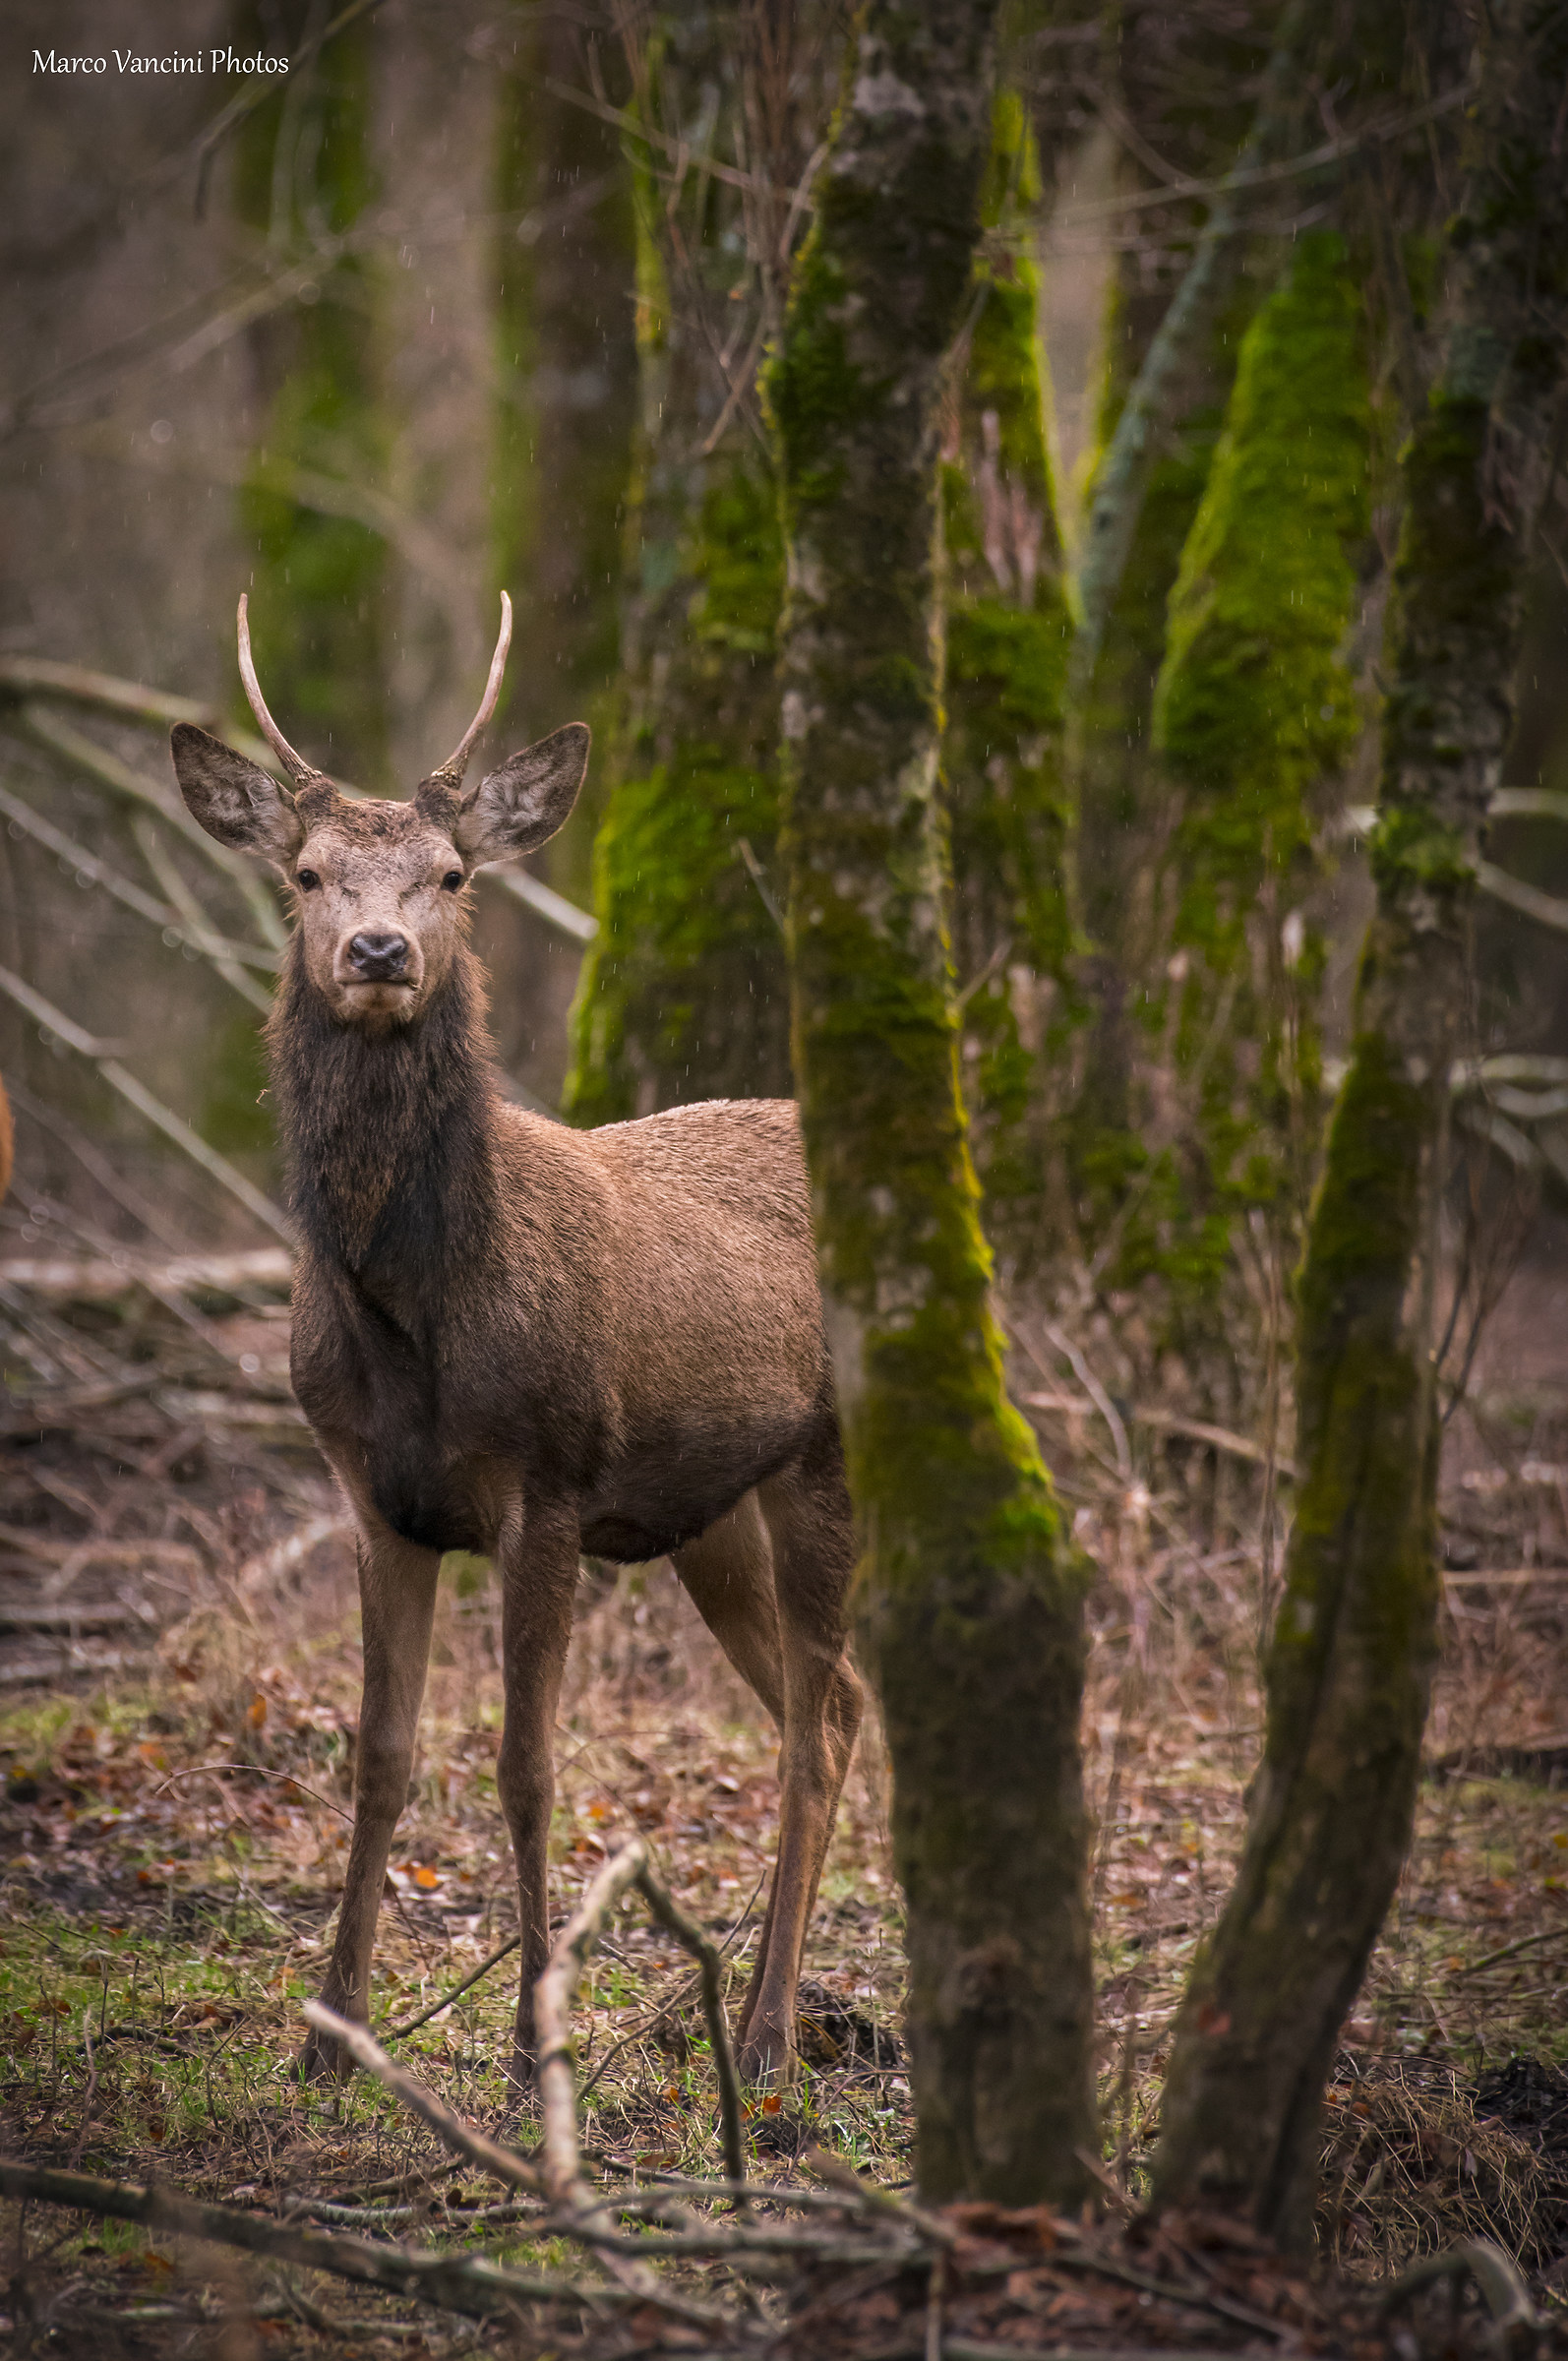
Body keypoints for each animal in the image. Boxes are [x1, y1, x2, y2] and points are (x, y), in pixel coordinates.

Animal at [169, 595, 863, 2093]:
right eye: (308, 875)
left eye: (447, 875)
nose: (379, 955)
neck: (413, 1324)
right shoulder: (372, 1494)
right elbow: (378, 1756)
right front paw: (329, 2034)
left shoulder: (544, 1484)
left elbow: (526, 1768)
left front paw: (534, 2038)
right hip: (708, 1513)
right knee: (826, 1711)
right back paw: (790, 2002)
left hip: (828, 1457)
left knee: (810, 1731)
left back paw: (771, 2033)